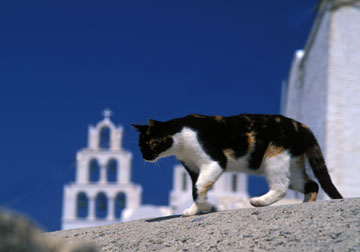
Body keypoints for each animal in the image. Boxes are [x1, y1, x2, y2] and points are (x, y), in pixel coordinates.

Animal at [132, 113, 344, 216]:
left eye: (146, 144)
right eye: (139, 146)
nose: (143, 156)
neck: (181, 141)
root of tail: (303, 127)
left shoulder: (214, 161)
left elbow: (199, 187)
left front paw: (205, 206)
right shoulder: (192, 168)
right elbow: (194, 189)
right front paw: (194, 209)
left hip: (274, 157)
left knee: (281, 187)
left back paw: (259, 201)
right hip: (293, 167)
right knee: (311, 184)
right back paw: (305, 204)